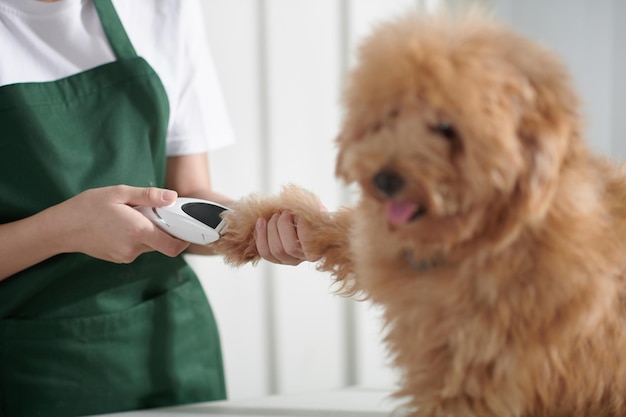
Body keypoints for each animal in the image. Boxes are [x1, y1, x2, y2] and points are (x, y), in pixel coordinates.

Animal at [212, 8, 624, 416]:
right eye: (391, 114)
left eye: (446, 127)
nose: (384, 179)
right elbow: (328, 226)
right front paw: (256, 224)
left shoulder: (477, 369)